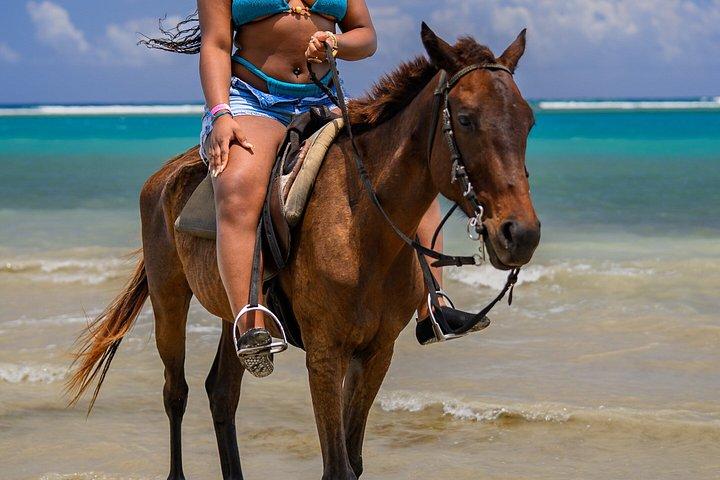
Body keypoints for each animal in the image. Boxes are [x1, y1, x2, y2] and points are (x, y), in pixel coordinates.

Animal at [67, 24, 540, 480]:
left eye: (529, 121)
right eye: (466, 118)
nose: (521, 234)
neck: (362, 228)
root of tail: (162, 177)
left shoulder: (376, 353)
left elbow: (354, 459)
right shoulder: (325, 355)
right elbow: (337, 466)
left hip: (235, 317)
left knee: (221, 393)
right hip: (169, 298)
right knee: (175, 392)